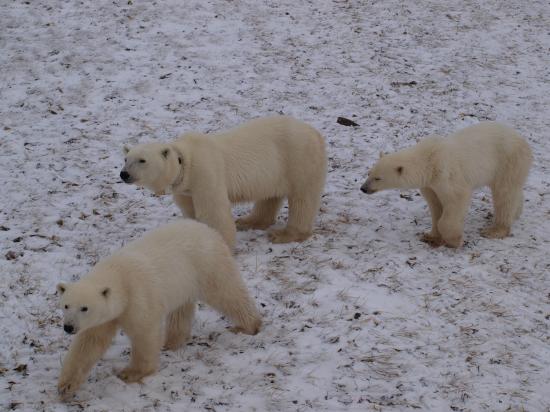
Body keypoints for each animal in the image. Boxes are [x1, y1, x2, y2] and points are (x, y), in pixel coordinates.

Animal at [56, 220, 264, 400]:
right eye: (66, 305)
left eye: (84, 308)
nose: (68, 327)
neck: (118, 275)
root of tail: (207, 229)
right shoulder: (105, 317)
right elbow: (89, 343)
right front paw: (66, 386)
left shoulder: (137, 297)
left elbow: (144, 333)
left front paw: (130, 373)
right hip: (184, 282)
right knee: (181, 310)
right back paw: (171, 341)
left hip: (207, 264)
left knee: (226, 293)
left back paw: (248, 326)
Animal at [121, 115, 328, 248]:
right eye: (126, 159)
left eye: (142, 160)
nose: (124, 174)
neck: (186, 161)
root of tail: (316, 133)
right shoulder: (184, 188)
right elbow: (190, 210)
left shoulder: (206, 173)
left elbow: (214, 212)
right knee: (270, 195)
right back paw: (249, 221)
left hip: (299, 158)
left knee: (302, 198)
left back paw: (284, 234)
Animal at [362, 120, 536, 246]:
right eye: (369, 173)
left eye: (378, 178)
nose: (363, 188)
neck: (429, 160)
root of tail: (523, 141)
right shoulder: (430, 184)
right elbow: (435, 205)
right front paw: (431, 236)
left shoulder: (446, 174)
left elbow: (456, 199)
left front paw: (455, 240)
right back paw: (516, 213)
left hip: (508, 160)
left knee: (504, 193)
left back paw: (495, 230)